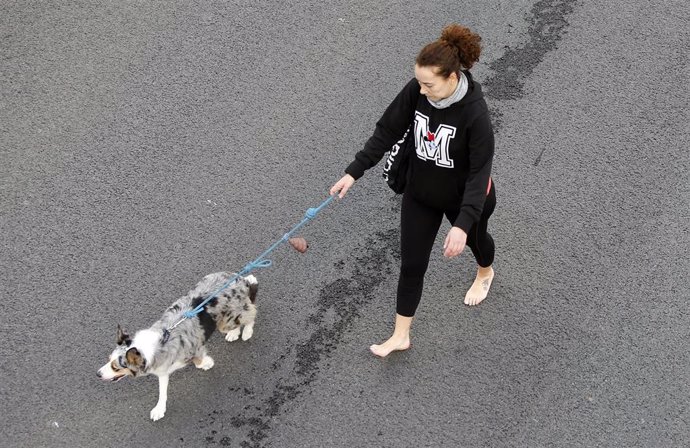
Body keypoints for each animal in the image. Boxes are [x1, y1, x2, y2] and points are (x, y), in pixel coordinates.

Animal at [97, 272, 258, 422]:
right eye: (108, 360)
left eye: (116, 367)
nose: (98, 374)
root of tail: (240, 278)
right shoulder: (162, 370)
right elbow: (162, 392)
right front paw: (159, 410)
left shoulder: (195, 349)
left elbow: (199, 362)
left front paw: (207, 363)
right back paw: (234, 333)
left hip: (228, 319)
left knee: (251, 313)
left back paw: (246, 332)